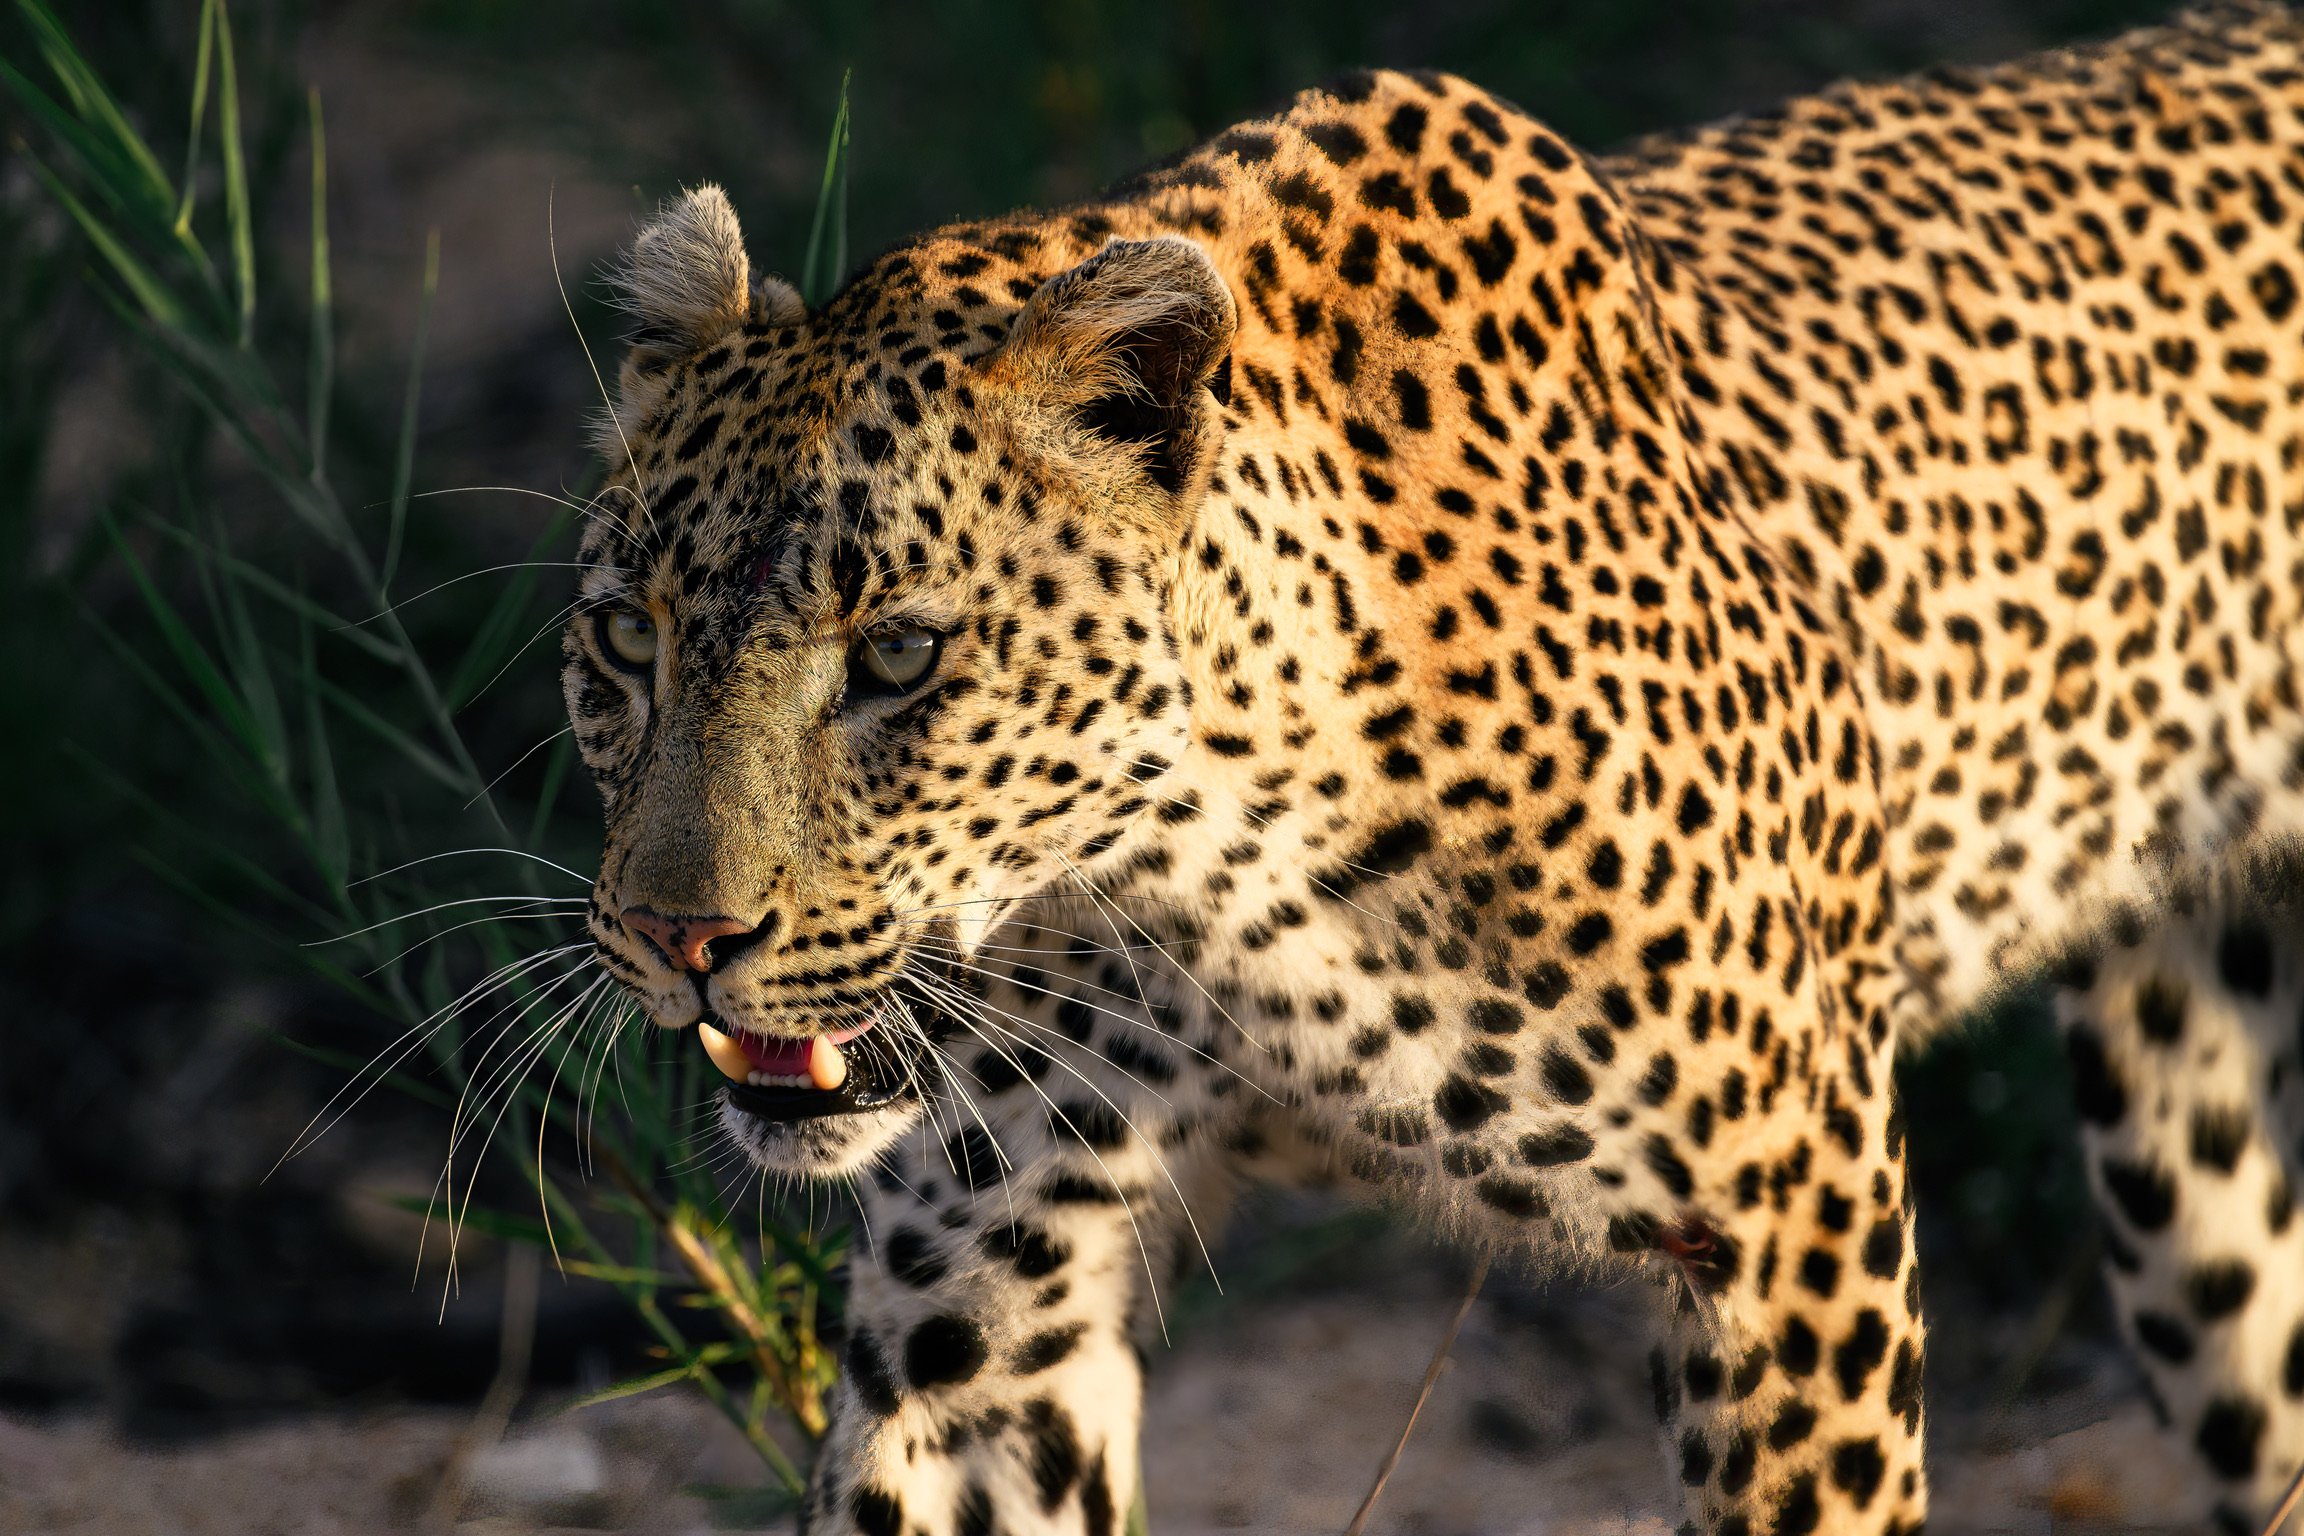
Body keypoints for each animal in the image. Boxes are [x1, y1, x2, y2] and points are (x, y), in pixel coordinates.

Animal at [561, 4, 2304, 1531]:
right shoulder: (985, 1291)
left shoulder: (1792, 1209)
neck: (1215, 874)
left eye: (900, 657)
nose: (678, 939)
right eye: (628, 637)